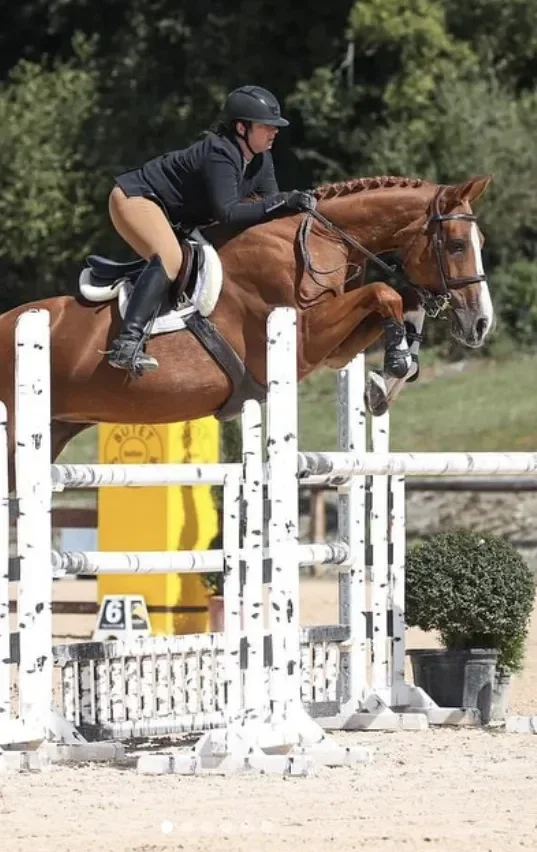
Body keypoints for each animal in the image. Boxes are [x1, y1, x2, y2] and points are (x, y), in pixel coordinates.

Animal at [0, 173, 493, 486]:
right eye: (455, 245)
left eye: (480, 242)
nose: (481, 324)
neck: (319, 240)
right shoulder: (303, 338)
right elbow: (384, 293)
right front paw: (393, 363)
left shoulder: (331, 347)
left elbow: (400, 303)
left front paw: (387, 380)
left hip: (54, 429)